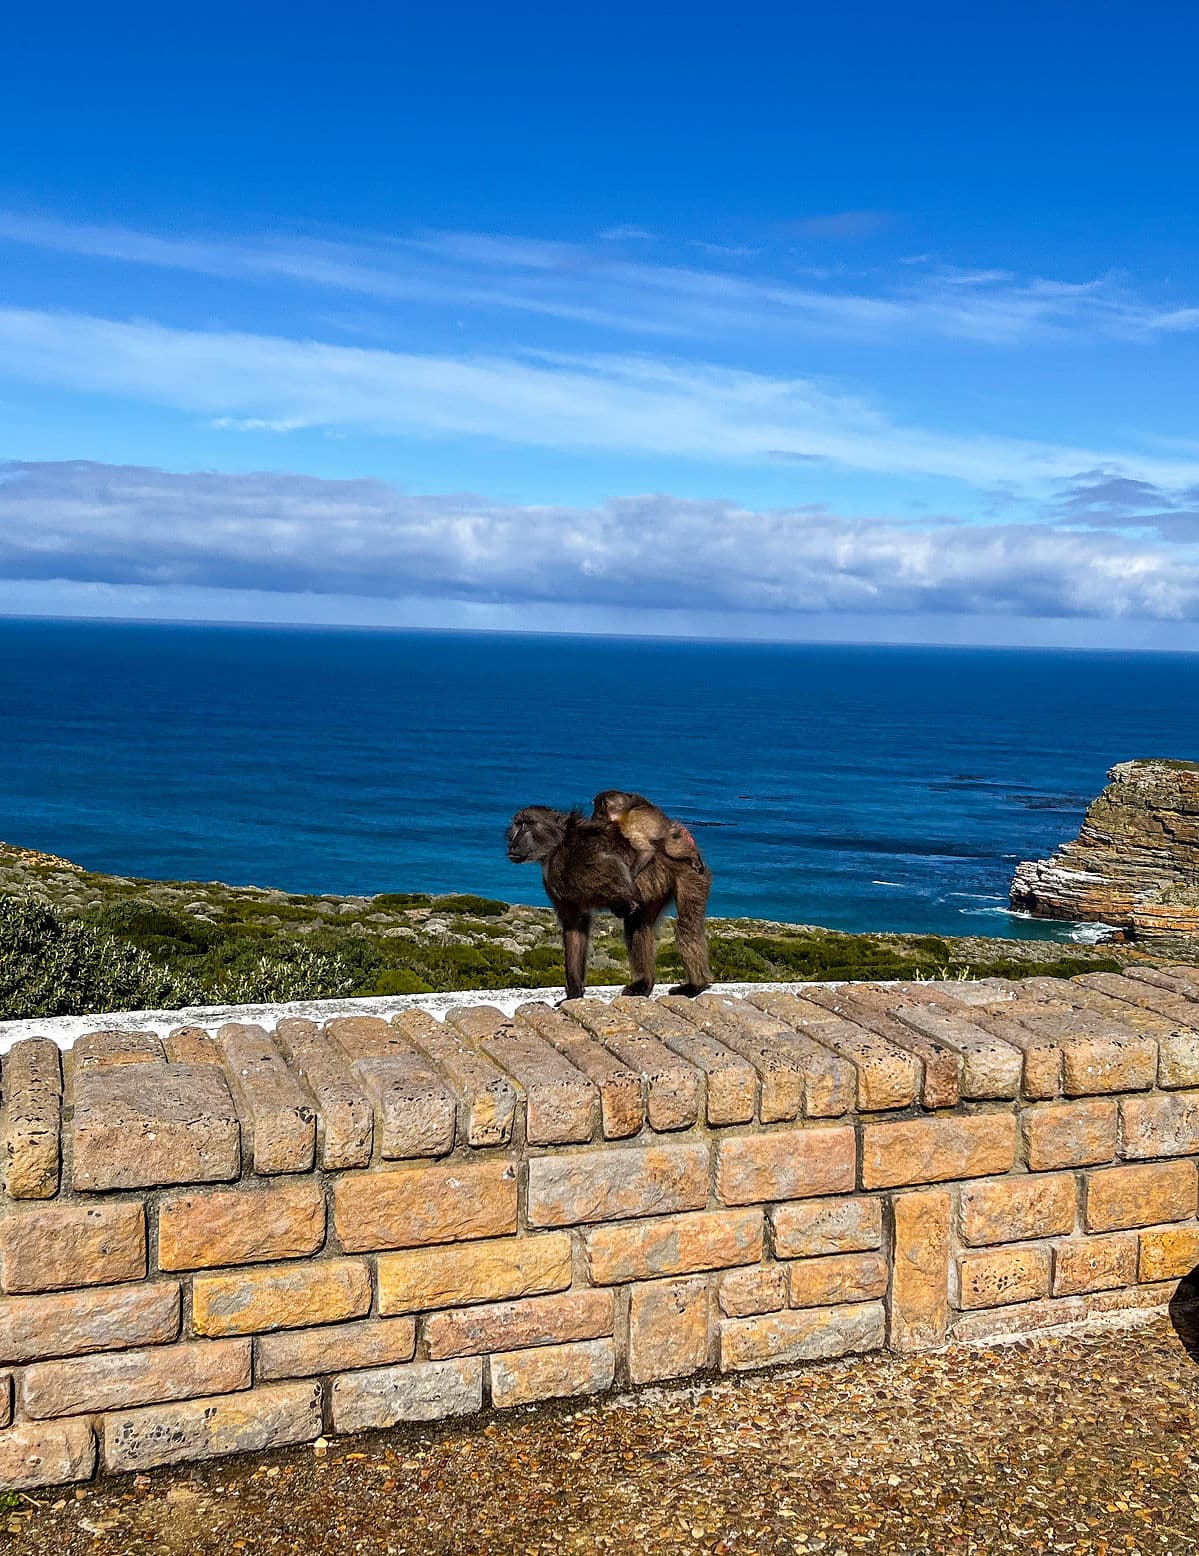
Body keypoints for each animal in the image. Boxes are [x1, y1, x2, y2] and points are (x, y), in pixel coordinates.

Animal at [506, 805, 713, 1001]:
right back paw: (643, 984)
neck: (557, 846)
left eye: (527, 824)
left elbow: (617, 871)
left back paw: (695, 985)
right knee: (638, 926)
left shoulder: (580, 860)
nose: (511, 844)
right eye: (517, 824)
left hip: (691, 873)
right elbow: (574, 928)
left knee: (686, 926)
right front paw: (574, 992)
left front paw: (623, 903)